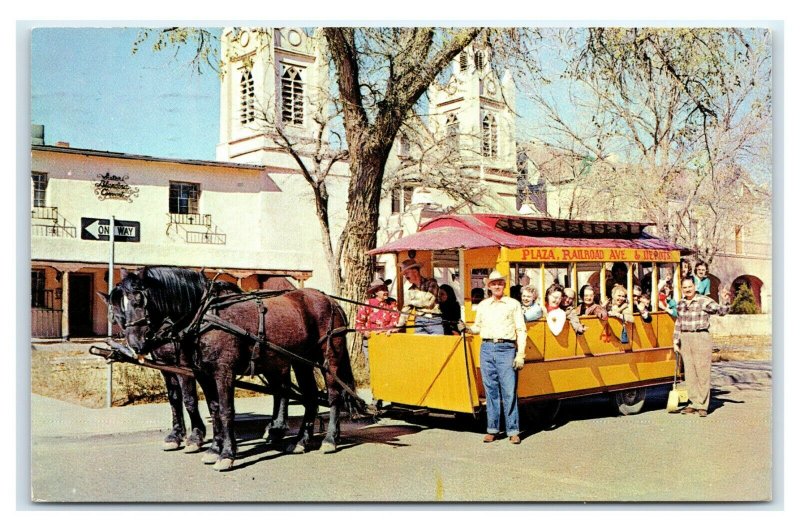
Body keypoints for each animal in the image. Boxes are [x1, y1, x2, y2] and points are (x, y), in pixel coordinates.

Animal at [111, 268, 360, 472]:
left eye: (139, 300)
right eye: (120, 304)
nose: (134, 343)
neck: (205, 315)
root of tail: (331, 301)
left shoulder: (222, 372)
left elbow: (225, 410)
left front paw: (226, 454)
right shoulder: (203, 373)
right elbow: (213, 409)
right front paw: (213, 448)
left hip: (329, 359)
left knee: (333, 395)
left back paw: (329, 440)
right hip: (301, 362)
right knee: (309, 398)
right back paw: (299, 441)